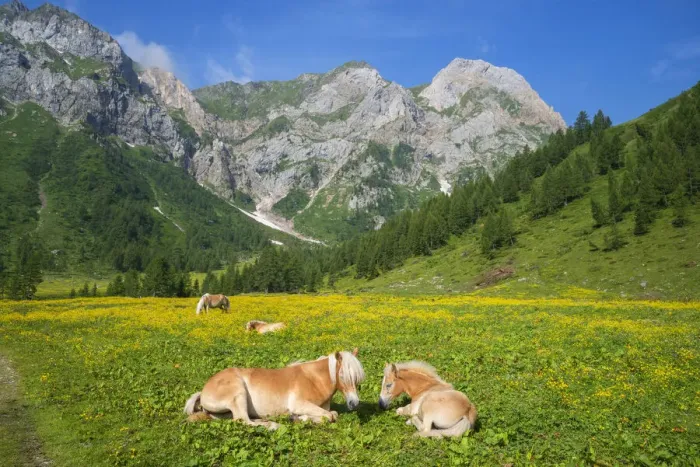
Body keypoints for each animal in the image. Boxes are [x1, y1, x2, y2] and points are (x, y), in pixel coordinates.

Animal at [184, 348, 364, 429]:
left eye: (357, 379)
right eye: (343, 375)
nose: (354, 403)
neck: (314, 379)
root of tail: (203, 391)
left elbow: (332, 414)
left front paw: (299, 418)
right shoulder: (299, 404)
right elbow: (329, 416)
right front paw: (299, 418)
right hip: (238, 392)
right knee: (244, 420)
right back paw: (274, 425)